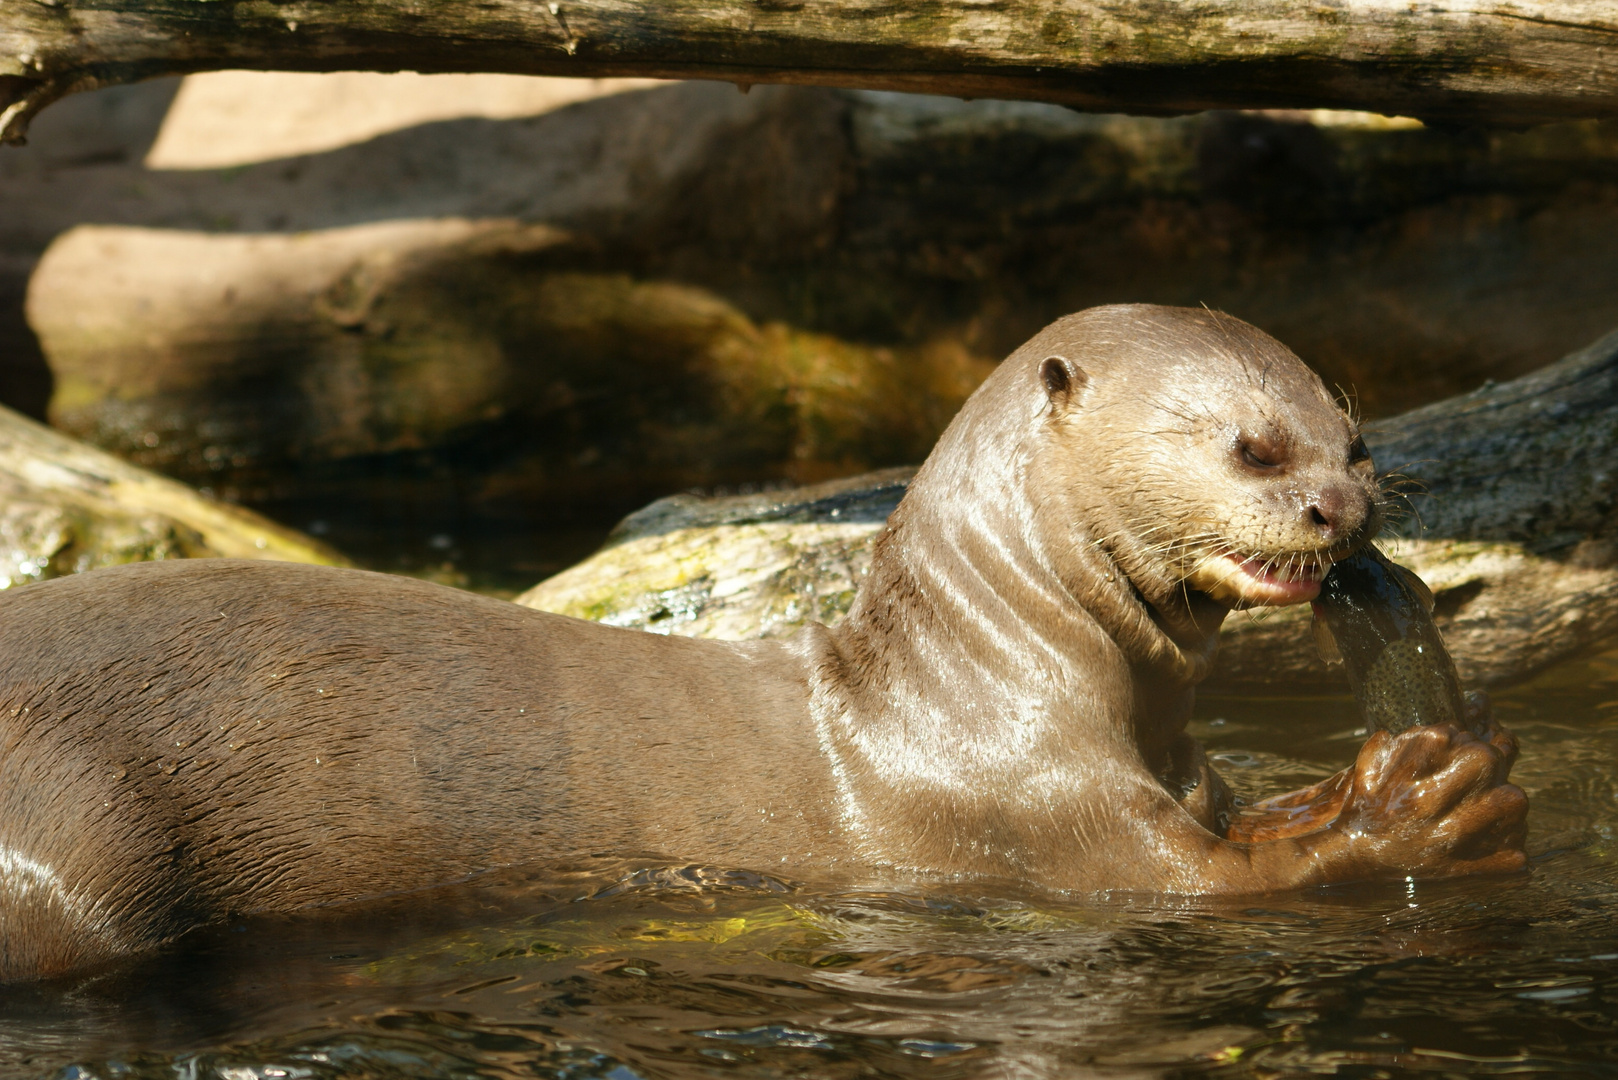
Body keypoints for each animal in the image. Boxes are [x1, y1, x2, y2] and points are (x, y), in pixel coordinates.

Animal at [0, 304, 1520, 977]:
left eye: (1358, 442)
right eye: (1250, 446)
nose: (1339, 507)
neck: (990, 675)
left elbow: (1244, 831)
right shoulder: (1030, 812)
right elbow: (1207, 886)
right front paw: (1414, 806)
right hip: (76, 846)